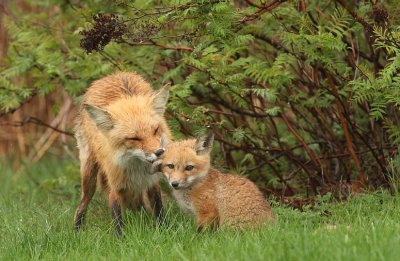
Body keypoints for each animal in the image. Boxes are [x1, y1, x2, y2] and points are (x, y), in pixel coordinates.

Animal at [73, 71, 170, 236]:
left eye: (156, 130)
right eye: (134, 138)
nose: (159, 152)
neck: (137, 168)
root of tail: (113, 75)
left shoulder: (152, 183)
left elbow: (159, 210)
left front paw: (163, 232)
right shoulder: (115, 186)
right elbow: (117, 219)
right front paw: (120, 240)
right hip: (89, 176)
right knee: (82, 204)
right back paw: (76, 231)